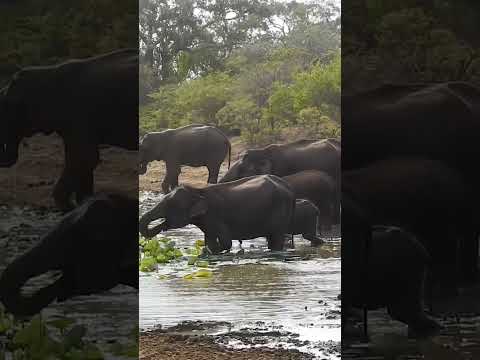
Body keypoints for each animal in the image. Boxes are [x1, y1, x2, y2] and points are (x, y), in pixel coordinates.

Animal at [0, 47, 139, 211]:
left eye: (6, 109)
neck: (47, 72)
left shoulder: (78, 114)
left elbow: (84, 156)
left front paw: (69, 207)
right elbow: (82, 158)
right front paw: (83, 204)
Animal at [140, 174, 296, 253]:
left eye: (170, 205)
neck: (197, 191)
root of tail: (289, 188)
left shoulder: (216, 216)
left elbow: (226, 242)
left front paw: (206, 252)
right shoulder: (207, 221)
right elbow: (210, 240)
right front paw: (208, 251)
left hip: (280, 209)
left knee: (276, 237)